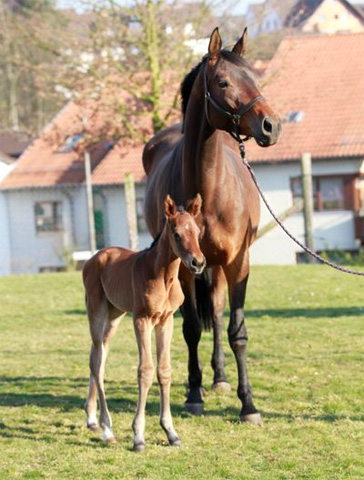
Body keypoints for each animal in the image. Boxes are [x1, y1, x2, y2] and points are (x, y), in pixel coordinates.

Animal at [83, 193, 206, 448]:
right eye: (176, 233)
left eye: (198, 231)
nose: (198, 263)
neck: (163, 277)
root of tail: (92, 259)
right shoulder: (142, 319)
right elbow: (146, 370)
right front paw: (138, 435)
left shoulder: (166, 321)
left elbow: (164, 370)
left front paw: (171, 432)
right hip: (97, 313)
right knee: (97, 361)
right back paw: (106, 428)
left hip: (114, 316)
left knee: (97, 356)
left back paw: (91, 418)